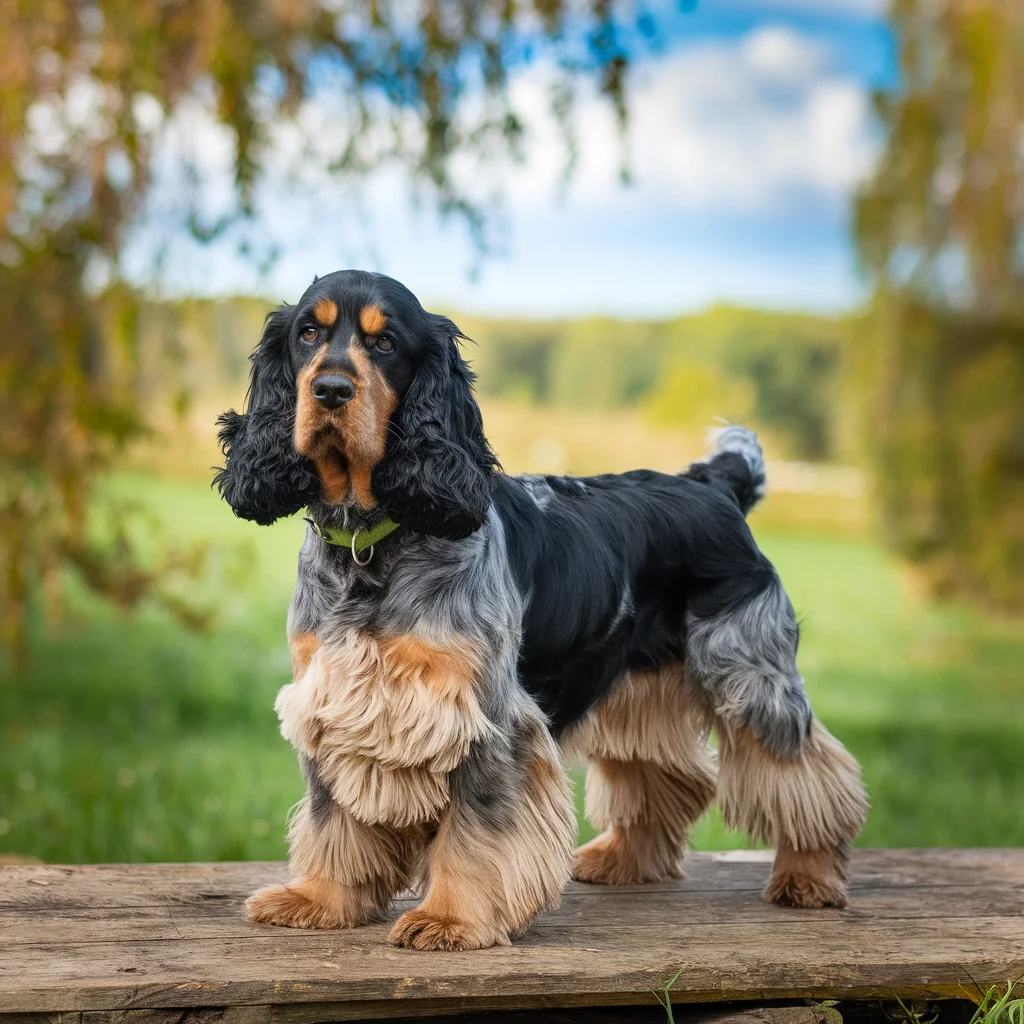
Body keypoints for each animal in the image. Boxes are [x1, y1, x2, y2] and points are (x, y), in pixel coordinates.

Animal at [214, 270, 864, 950]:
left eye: (385, 342)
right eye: (307, 334)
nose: (331, 388)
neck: (372, 542)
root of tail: (714, 484)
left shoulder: (485, 718)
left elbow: (476, 831)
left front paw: (450, 919)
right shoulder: (336, 698)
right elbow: (332, 814)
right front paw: (319, 898)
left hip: (749, 673)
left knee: (812, 774)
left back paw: (808, 876)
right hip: (640, 684)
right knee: (667, 772)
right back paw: (621, 860)